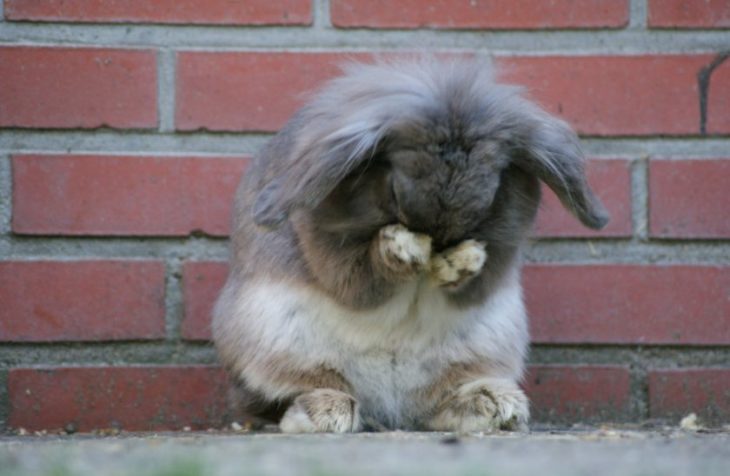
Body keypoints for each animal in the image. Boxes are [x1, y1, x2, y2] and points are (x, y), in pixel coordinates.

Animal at [212, 57, 609, 433]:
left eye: (493, 192)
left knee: (435, 407)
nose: (441, 237)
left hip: (481, 351)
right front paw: (401, 250)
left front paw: (461, 261)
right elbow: (361, 277)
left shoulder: (499, 258)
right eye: (394, 190)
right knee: (285, 396)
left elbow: (476, 277)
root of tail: (388, 410)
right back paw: (325, 411)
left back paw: (493, 404)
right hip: (276, 345)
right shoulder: (327, 254)